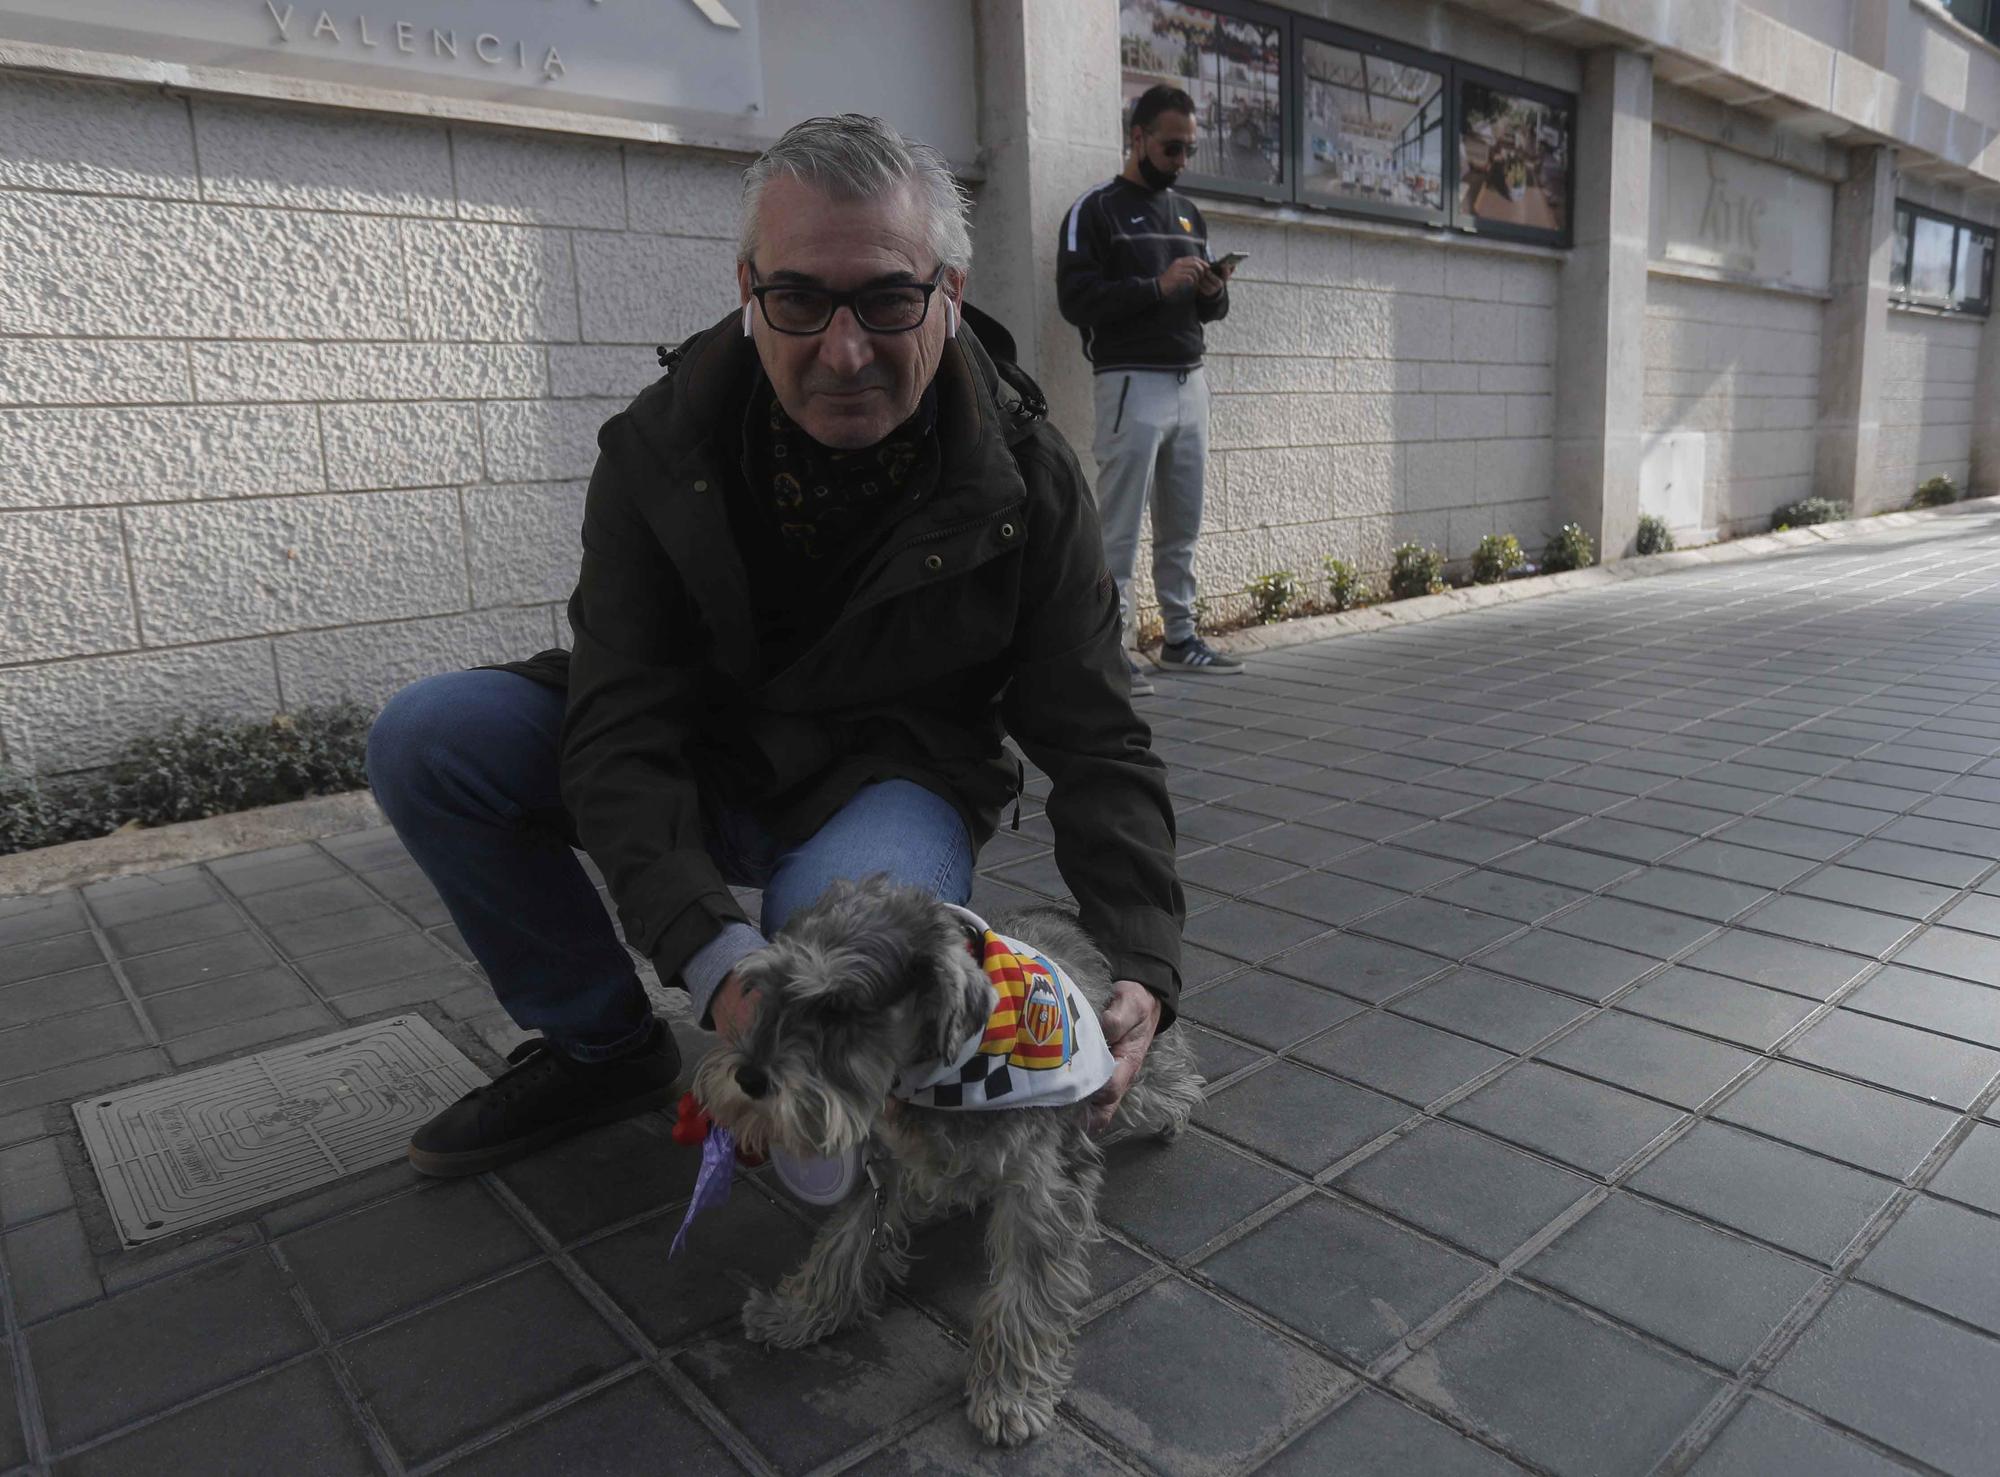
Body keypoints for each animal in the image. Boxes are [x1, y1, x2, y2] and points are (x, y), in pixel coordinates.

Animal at [692, 872, 1200, 1440]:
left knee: (1165, 1076)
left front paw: (1008, 1394)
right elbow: (844, 1242)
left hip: (1129, 1071)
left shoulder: (1042, 1189)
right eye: (765, 990)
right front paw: (797, 1312)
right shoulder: (884, 1163)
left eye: (838, 1009)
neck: (947, 1073)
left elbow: (1023, 1294)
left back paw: (1176, 1113)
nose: (748, 1079)